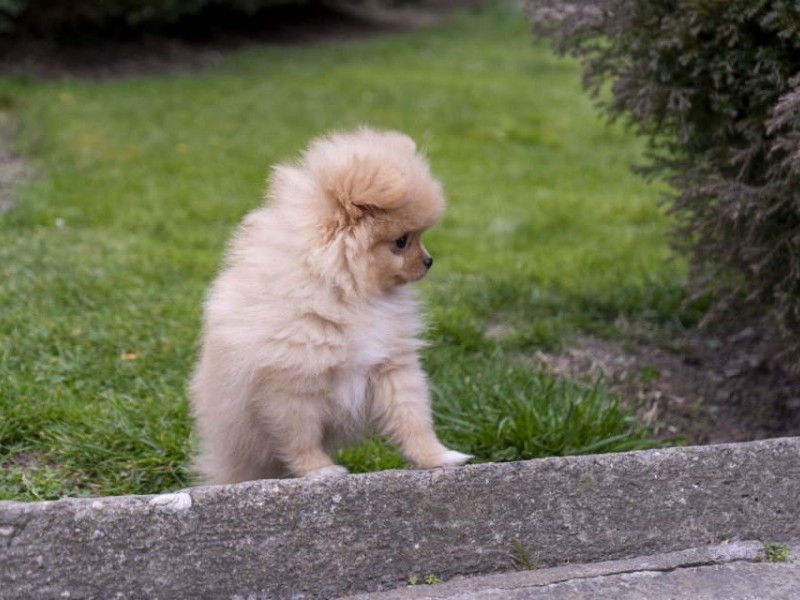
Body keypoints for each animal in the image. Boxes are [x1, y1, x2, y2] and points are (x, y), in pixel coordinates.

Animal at [190, 127, 471, 484]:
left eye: (419, 237)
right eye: (401, 242)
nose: (429, 261)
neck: (349, 294)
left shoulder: (391, 366)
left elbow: (413, 418)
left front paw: (437, 457)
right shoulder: (292, 385)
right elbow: (302, 437)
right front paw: (319, 470)